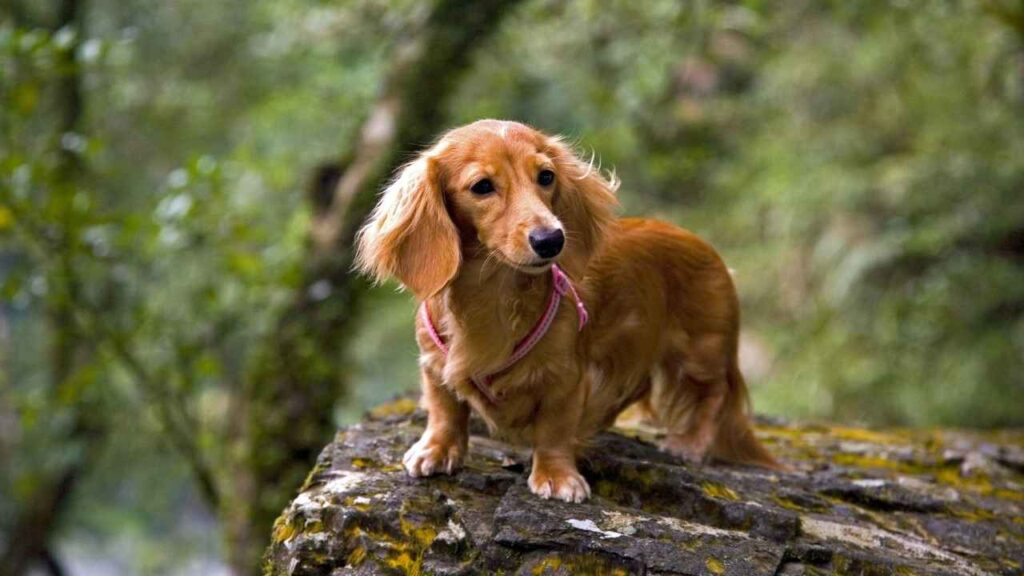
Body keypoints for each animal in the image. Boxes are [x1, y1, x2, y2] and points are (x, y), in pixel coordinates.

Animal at [356, 118, 778, 500]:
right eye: (482, 186)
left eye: (546, 176)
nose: (551, 240)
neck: (492, 294)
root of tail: (704, 246)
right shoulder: (434, 364)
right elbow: (445, 409)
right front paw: (437, 449)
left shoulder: (566, 379)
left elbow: (555, 430)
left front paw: (557, 476)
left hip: (701, 351)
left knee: (714, 395)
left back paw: (690, 443)